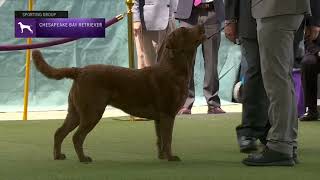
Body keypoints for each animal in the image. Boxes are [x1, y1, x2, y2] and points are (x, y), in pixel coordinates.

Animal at [31, 24, 205, 162]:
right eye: (184, 30)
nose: (201, 25)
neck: (174, 68)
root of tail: (79, 71)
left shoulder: (159, 118)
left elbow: (160, 139)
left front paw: (162, 157)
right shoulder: (167, 114)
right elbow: (168, 139)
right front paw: (171, 157)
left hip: (75, 112)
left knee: (59, 132)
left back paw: (58, 156)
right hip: (92, 112)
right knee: (77, 136)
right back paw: (83, 159)